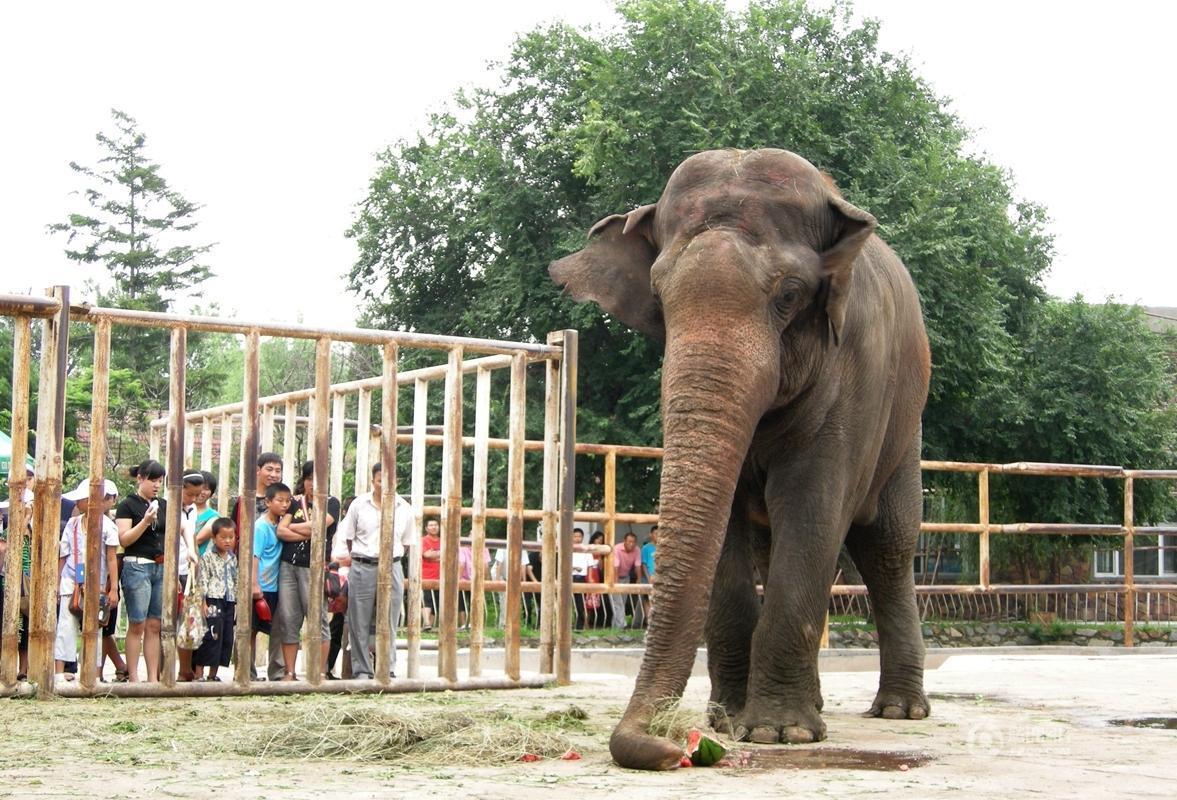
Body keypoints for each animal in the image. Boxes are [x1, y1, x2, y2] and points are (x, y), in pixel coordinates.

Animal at [549, 148, 931, 770]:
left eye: (790, 295)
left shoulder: (855, 374)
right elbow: (729, 527)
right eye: (659, 297)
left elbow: (812, 505)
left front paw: (779, 733)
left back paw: (898, 711)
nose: (665, 747)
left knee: (887, 547)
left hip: (905, 427)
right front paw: (727, 723)